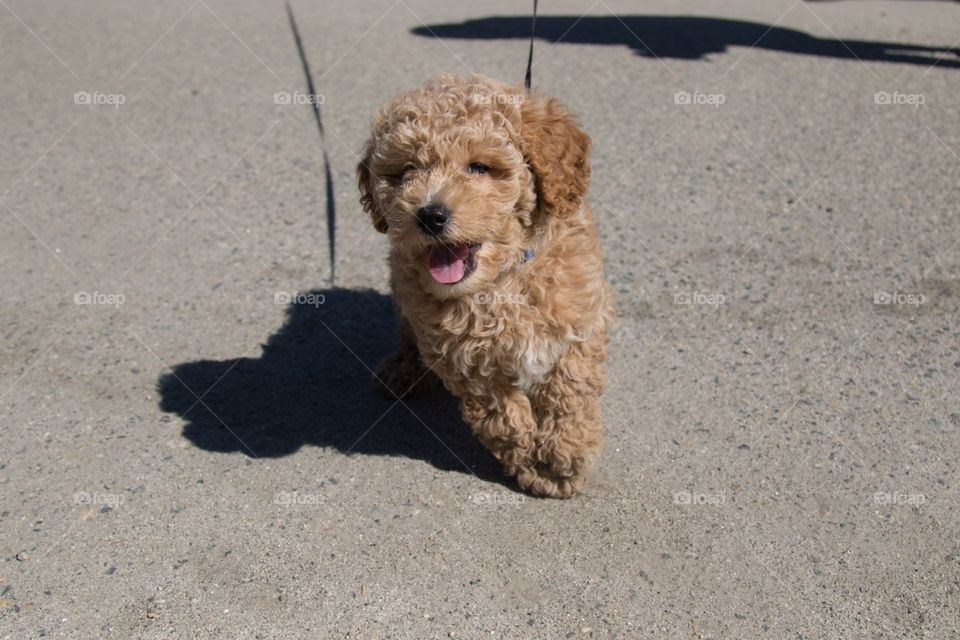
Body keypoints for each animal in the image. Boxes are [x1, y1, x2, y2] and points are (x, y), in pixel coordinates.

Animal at [356, 74, 612, 496]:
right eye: (406, 170)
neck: (500, 280)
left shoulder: (579, 319)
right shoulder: (464, 359)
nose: (430, 215)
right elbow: (501, 414)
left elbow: (568, 392)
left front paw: (562, 460)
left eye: (479, 167)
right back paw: (403, 368)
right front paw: (531, 460)